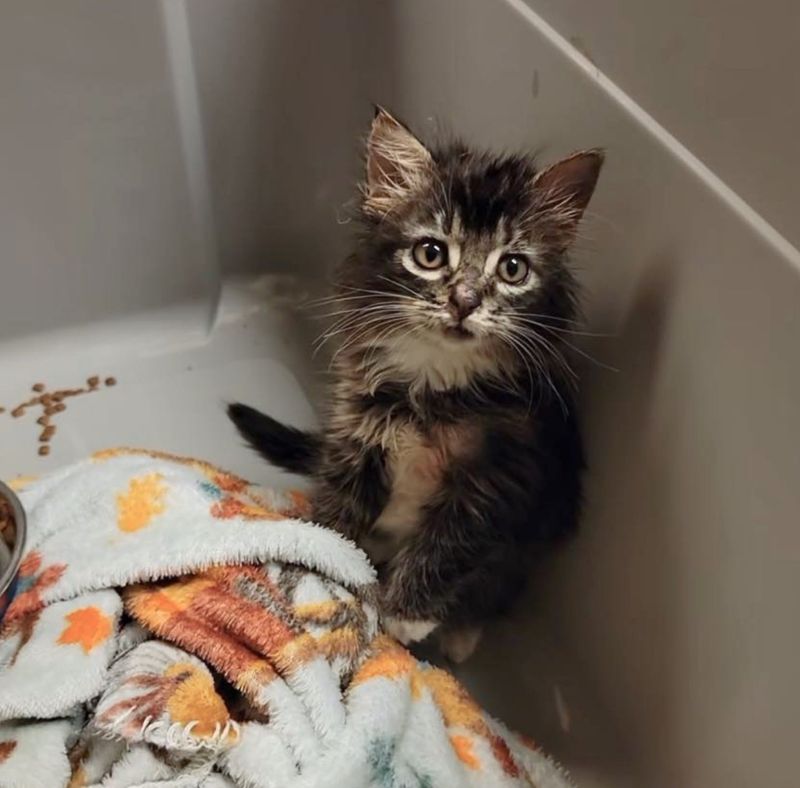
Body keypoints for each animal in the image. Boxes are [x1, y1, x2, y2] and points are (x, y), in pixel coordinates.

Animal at [228, 107, 604, 660]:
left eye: (513, 268)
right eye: (431, 254)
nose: (464, 300)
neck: (435, 385)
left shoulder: (499, 473)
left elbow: (449, 546)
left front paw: (405, 616)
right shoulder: (357, 433)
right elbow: (340, 513)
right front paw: (326, 567)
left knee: (497, 585)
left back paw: (463, 635)